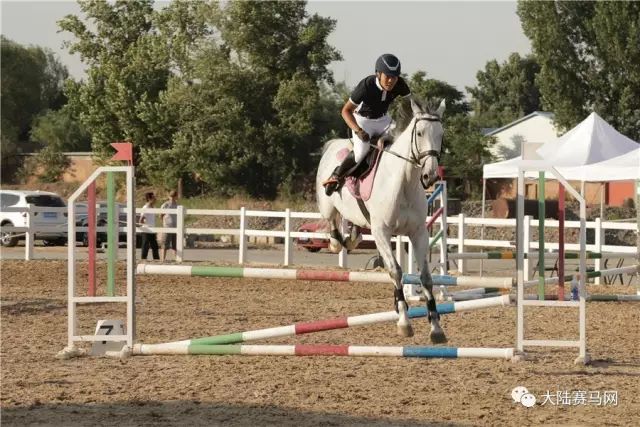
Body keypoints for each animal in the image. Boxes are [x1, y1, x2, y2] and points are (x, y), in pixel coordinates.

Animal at [316, 99, 444, 344]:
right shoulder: (382, 232)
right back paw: (337, 241)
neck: (403, 181)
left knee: (352, 223)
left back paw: (352, 237)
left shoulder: (418, 233)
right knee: (332, 222)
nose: (430, 176)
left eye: (441, 135)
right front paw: (404, 322)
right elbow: (395, 271)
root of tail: (334, 144)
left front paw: (436, 328)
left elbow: (425, 277)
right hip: (327, 204)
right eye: (420, 133)